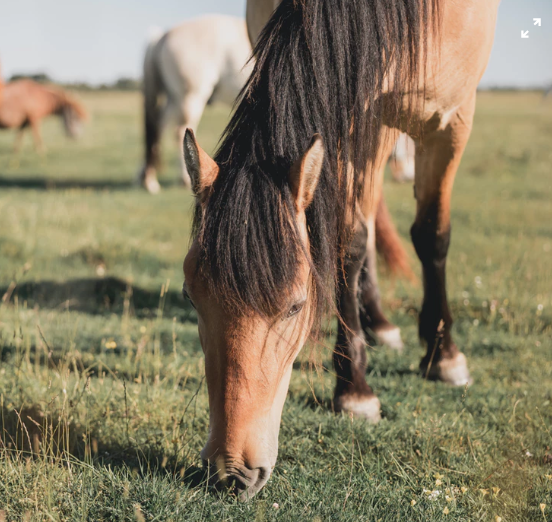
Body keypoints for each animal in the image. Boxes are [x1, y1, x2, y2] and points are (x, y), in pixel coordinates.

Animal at [137, 15, 252, 192]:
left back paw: (148, 179)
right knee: (179, 131)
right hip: (190, 97)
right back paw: (183, 179)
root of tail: (163, 36)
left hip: (174, 98)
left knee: (158, 127)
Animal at [181, 0, 500, 496]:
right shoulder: (355, 117)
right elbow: (349, 242)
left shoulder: (450, 119)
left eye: (296, 306)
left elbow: (432, 233)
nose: (231, 472)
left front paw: (442, 357)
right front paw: (355, 384)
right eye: (191, 299)